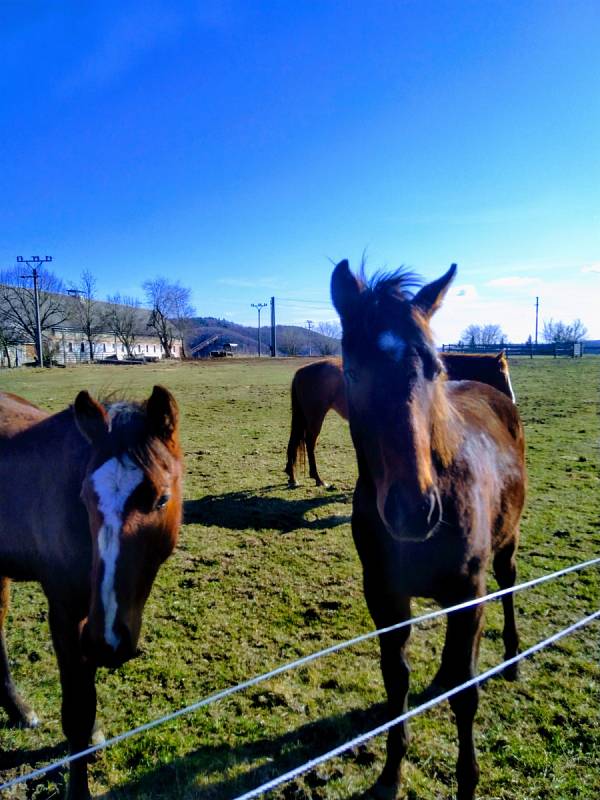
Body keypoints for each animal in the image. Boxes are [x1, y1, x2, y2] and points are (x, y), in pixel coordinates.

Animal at [0, 388, 183, 800]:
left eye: (161, 499)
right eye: (84, 498)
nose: (110, 641)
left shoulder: (92, 616)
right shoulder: (66, 614)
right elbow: (76, 712)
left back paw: (18, 710)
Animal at [286, 352, 516, 488]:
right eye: (501, 373)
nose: (511, 400)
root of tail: (301, 371)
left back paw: (292, 475)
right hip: (315, 415)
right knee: (309, 443)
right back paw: (318, 479)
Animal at [328, 262, 524, 800]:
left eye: (435, 369)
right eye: (352, 371)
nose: (414, 510)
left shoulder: (470, 591)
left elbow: (467, 694)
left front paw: (468, 781)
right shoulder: (385, 596)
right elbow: (396, 682)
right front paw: (390, 774)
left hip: (503, 551)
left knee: (508, 585)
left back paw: (514, 658)